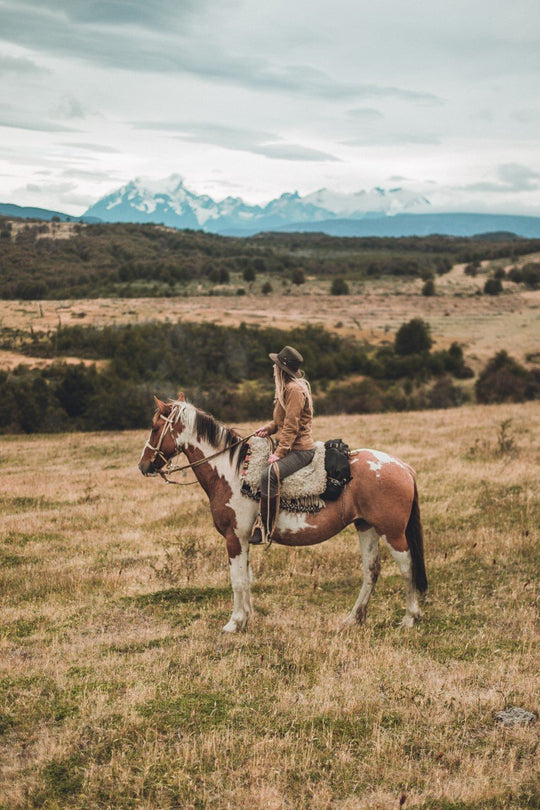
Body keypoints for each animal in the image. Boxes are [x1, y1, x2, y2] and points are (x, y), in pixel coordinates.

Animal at [138, 394, 426, 636]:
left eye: (154, 428)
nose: (143, 465)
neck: (232, 474)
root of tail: (403, 466)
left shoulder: (234, 538)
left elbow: (238, 580)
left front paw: (234, 623)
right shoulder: (245, 540)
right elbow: (247, 578)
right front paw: (247, 619)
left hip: (393, 533)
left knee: (407, 567)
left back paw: (409, 618)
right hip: (366, 527)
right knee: (371, 571)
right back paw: (353, 618)